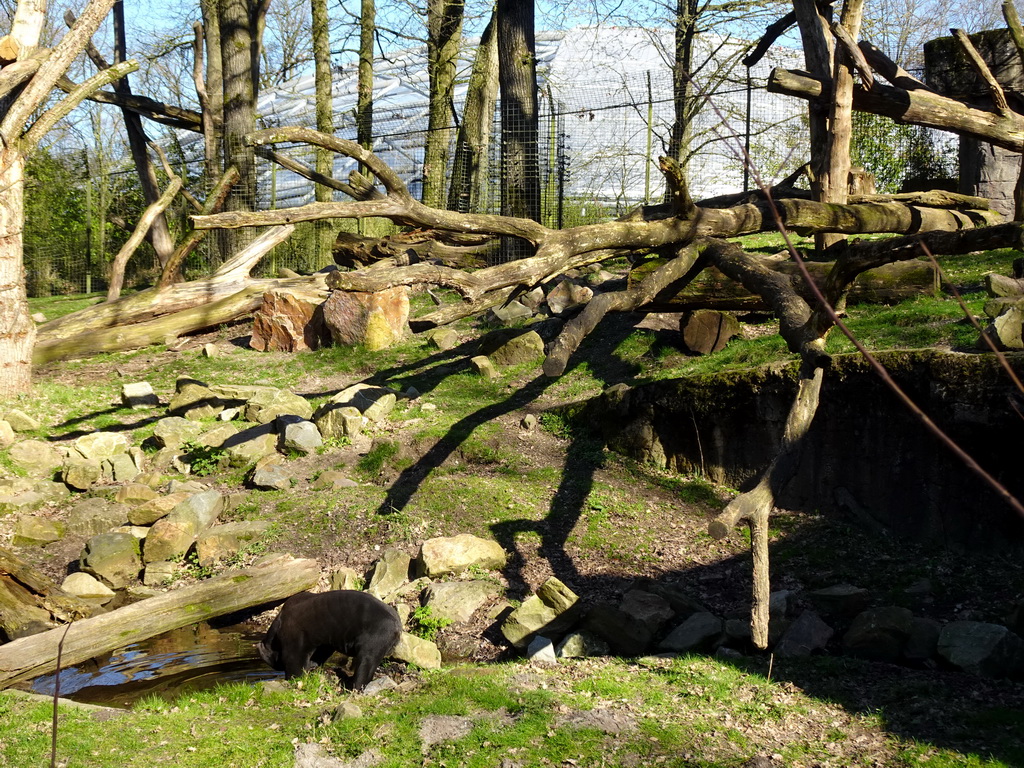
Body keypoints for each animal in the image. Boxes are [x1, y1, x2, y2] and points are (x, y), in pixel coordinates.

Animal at [254, 589, 399, 692]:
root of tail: (397, 626)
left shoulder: (295, 638)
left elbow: (295, 661)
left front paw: (295, 679)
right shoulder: (324, 640)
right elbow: (319, 653)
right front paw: (312, 667)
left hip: (375, 637)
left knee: (365, 664)